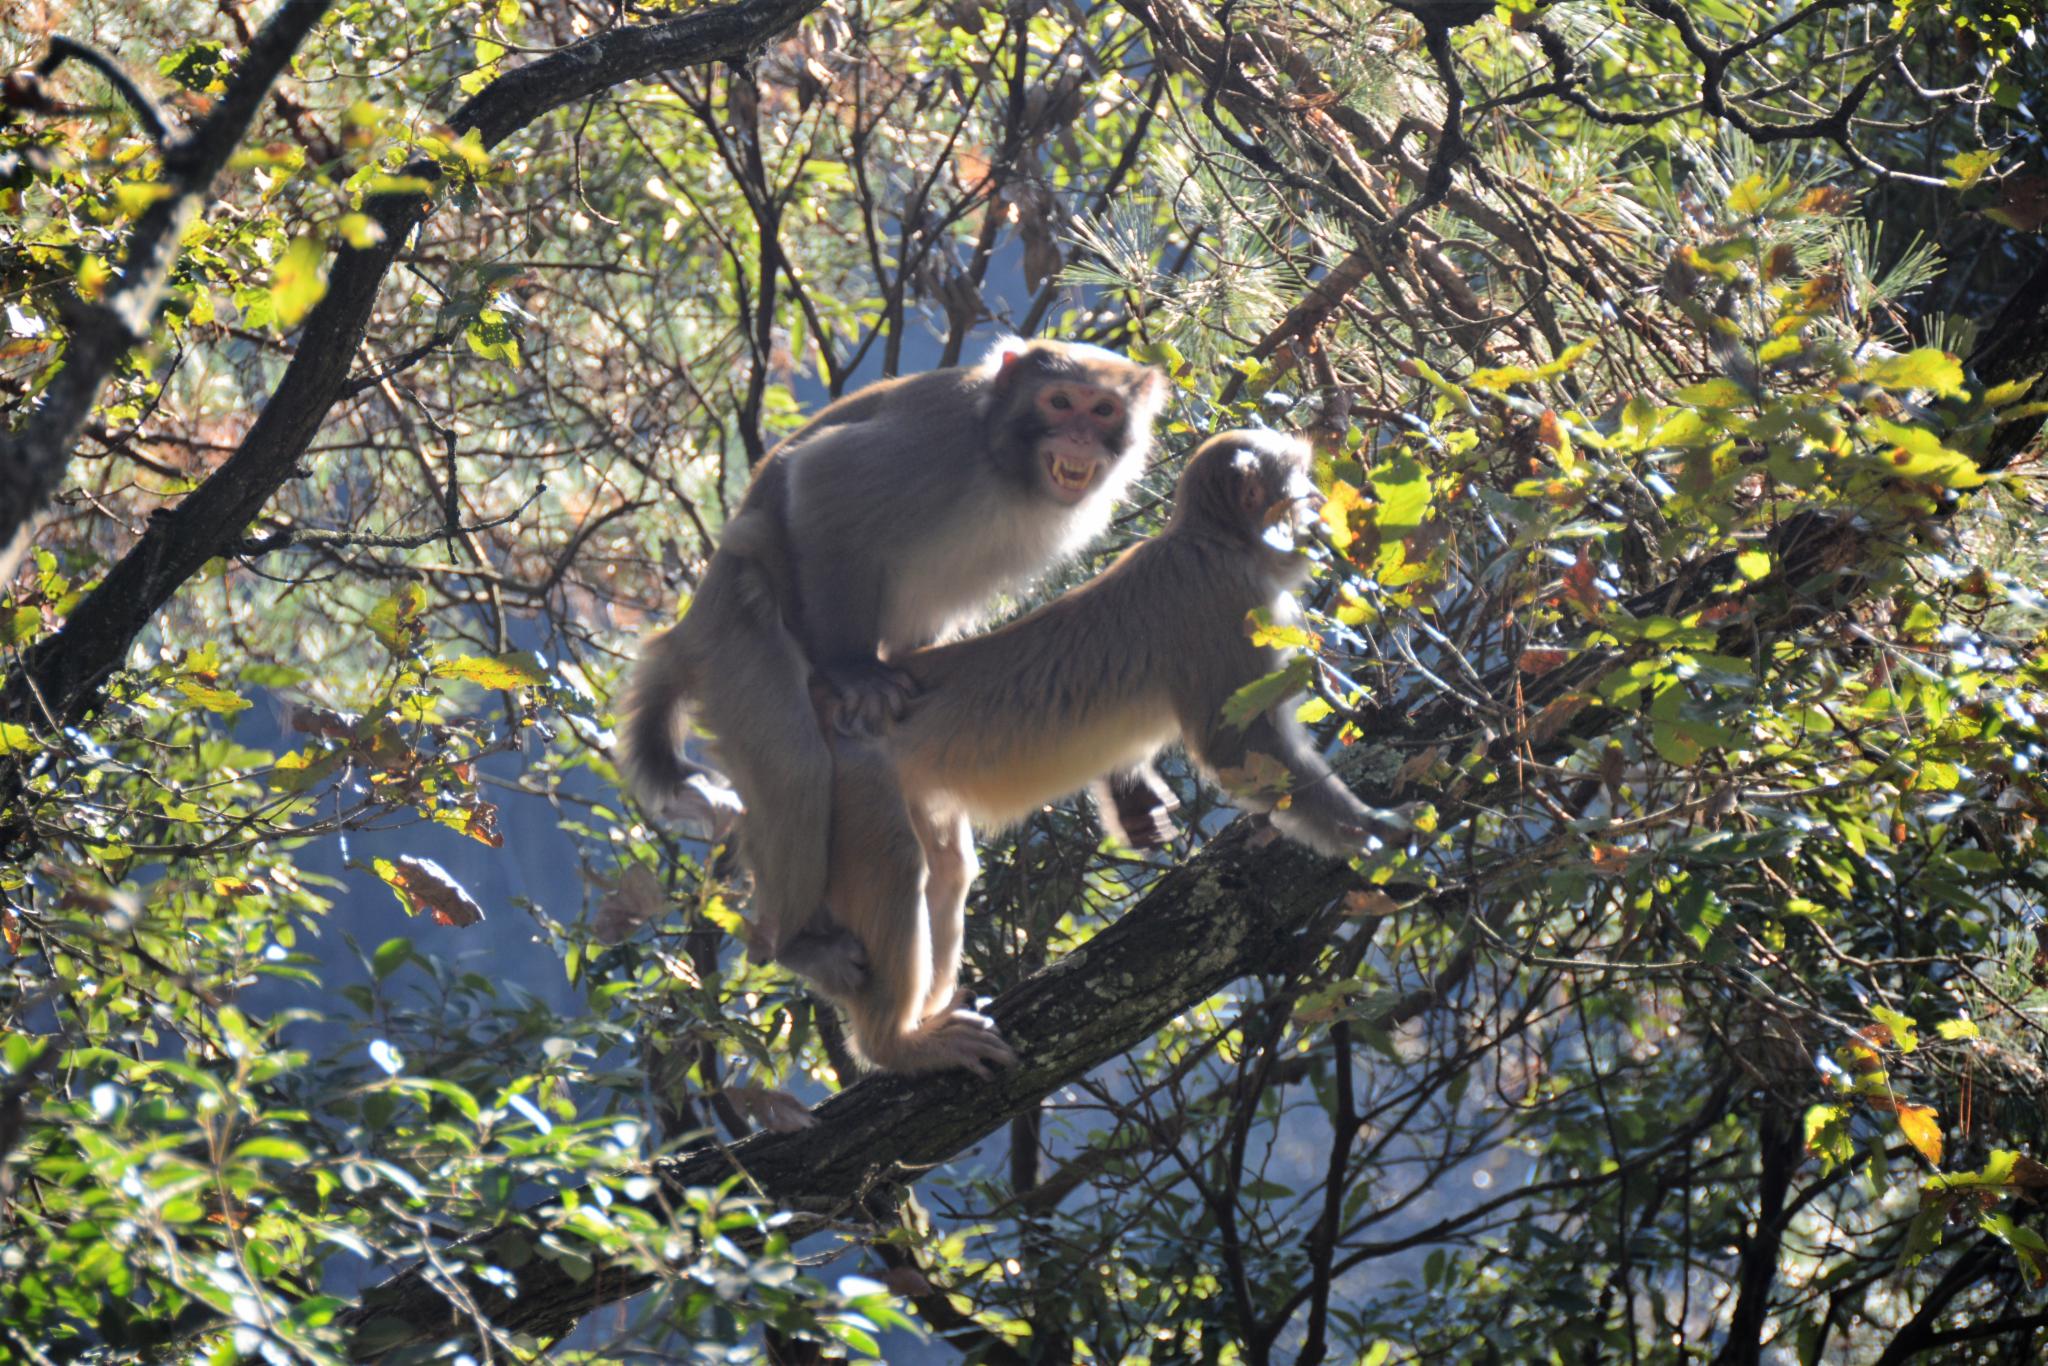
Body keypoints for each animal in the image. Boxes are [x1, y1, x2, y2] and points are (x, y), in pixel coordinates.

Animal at [614, 335, 1171, 987]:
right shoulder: (939, 446)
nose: (1081, 437)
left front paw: (1127, 783)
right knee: (795, 766)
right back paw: (795, 944)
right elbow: (822, 475)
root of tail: (693, 625)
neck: (1006, 469)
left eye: (1103, 410)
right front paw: (853, 669)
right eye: (1059, 401)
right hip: (738, 640)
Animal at [798, 430, 1409, 1081]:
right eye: (1301, 484)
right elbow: (1238, 750)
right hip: (856, 784)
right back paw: (894, 1044)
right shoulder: (1228, 596)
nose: (1318, 507)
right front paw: (1368, 827)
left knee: (947, 868)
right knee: (897, 866)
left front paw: (1133, 799)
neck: (1211, 539)